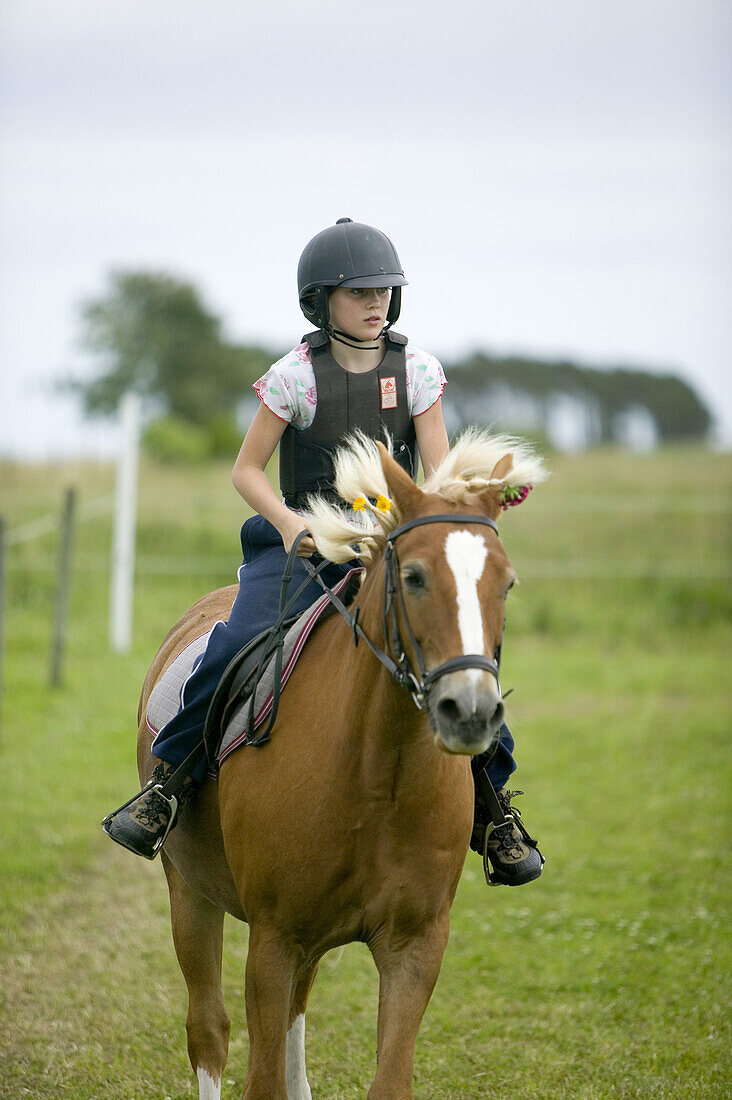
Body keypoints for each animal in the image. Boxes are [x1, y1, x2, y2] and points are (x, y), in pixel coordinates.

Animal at [134, 431, 541, 1100]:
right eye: (414, 576)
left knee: (296, 1012)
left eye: (505, 584)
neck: (378, 776)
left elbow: (387, 1078)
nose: (471, 712)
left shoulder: (414, 945)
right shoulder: (273, 940)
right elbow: (259, 1076)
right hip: (189, 891)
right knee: (208, 1028)